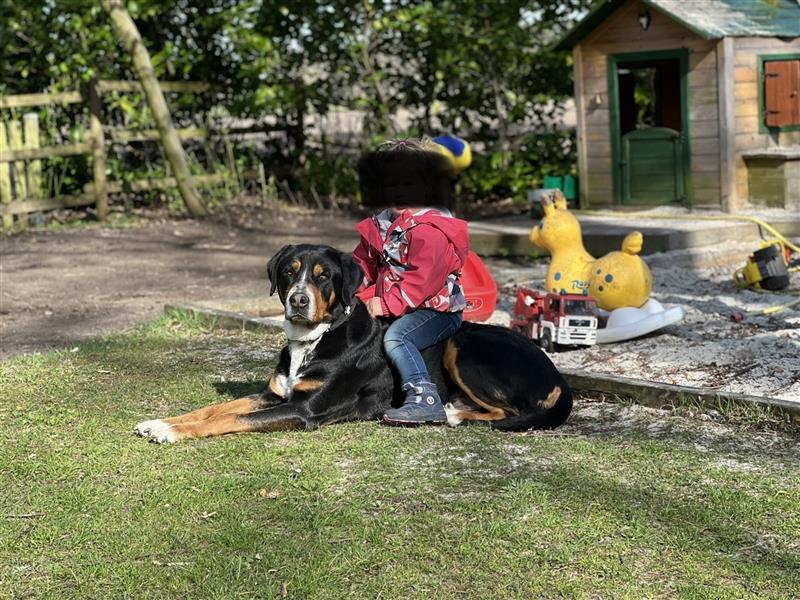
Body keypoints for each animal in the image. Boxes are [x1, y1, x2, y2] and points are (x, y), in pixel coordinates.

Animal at [134, 241, 572, 442]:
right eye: (290, 272)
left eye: (324, 276)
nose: (298, 300)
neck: (313, 340)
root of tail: (556, 373)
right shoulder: (274, 396)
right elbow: (213, 409)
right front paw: (160, 422)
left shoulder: (303, 409)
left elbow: (226, 420)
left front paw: (171, 433)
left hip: (461, 348)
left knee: (511, 411)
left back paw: (451, 414)